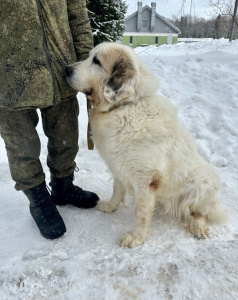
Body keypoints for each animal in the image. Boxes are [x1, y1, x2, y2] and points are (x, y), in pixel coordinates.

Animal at [65, 42, 227, 248]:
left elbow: (141, 213)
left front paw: (136, 237)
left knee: (200, 212)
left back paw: (198, 225)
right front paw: (110, 206)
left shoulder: (146, 178)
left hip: (203, 179)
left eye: (97, 61)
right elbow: (117, 189)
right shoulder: (118, 165)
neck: (124, 106)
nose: (66, 69)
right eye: (89, 57)